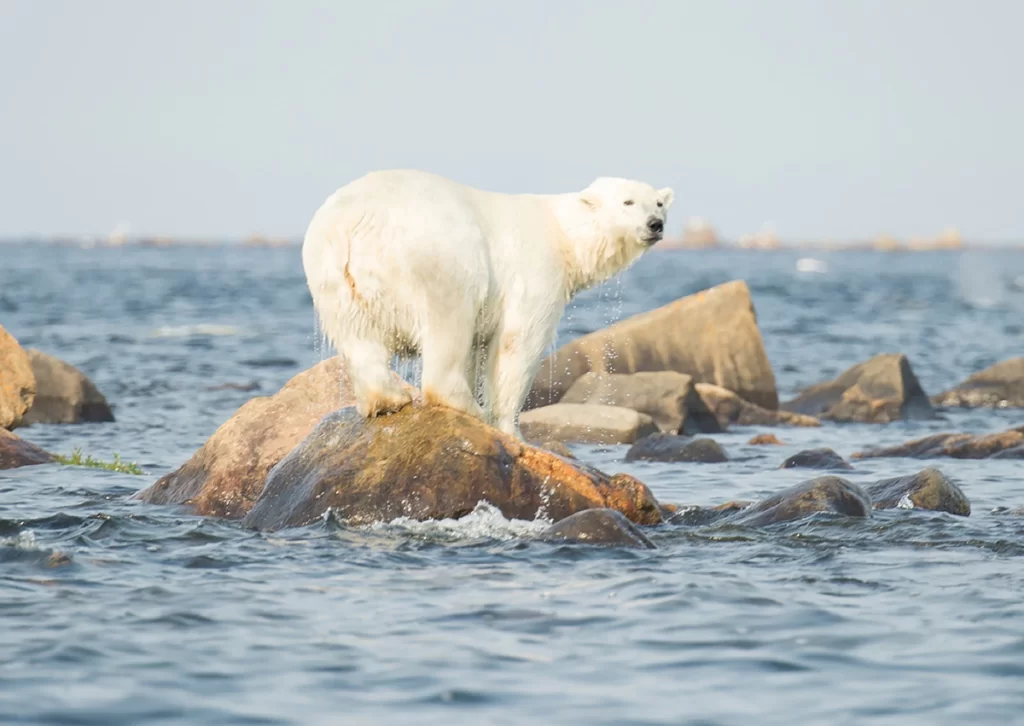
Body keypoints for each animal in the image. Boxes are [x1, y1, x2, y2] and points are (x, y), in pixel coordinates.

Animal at [303, 169, 671, 436]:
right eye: (627, 202)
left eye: (658, 203)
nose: (656, 225)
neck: (564, 235)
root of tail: (355, 220)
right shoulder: (535, 272)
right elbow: (518, 343)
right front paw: (510, 428)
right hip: (439, 254)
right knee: (448, 319)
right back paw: (466, 406)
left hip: (329, 271)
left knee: (357, 335)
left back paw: (386, 399)